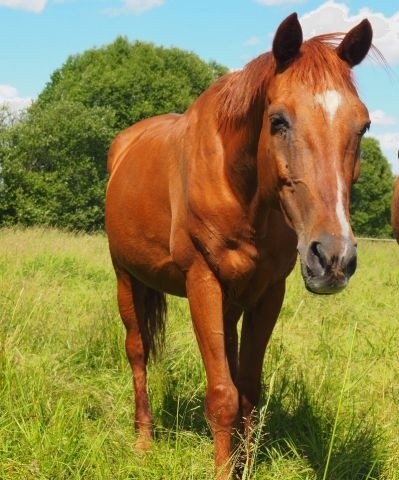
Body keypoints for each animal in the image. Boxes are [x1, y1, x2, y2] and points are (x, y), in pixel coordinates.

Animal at [104, 13, 374, 478]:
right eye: (278, 120)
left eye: (363, 125)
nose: (333, 258)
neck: (241, 189)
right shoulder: (202, 283)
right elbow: (222, 395)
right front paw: (221, 468)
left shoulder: (268, 292)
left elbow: (246, 389)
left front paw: (242, 466)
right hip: (126, 277)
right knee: (137, 352)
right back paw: (143, 441)